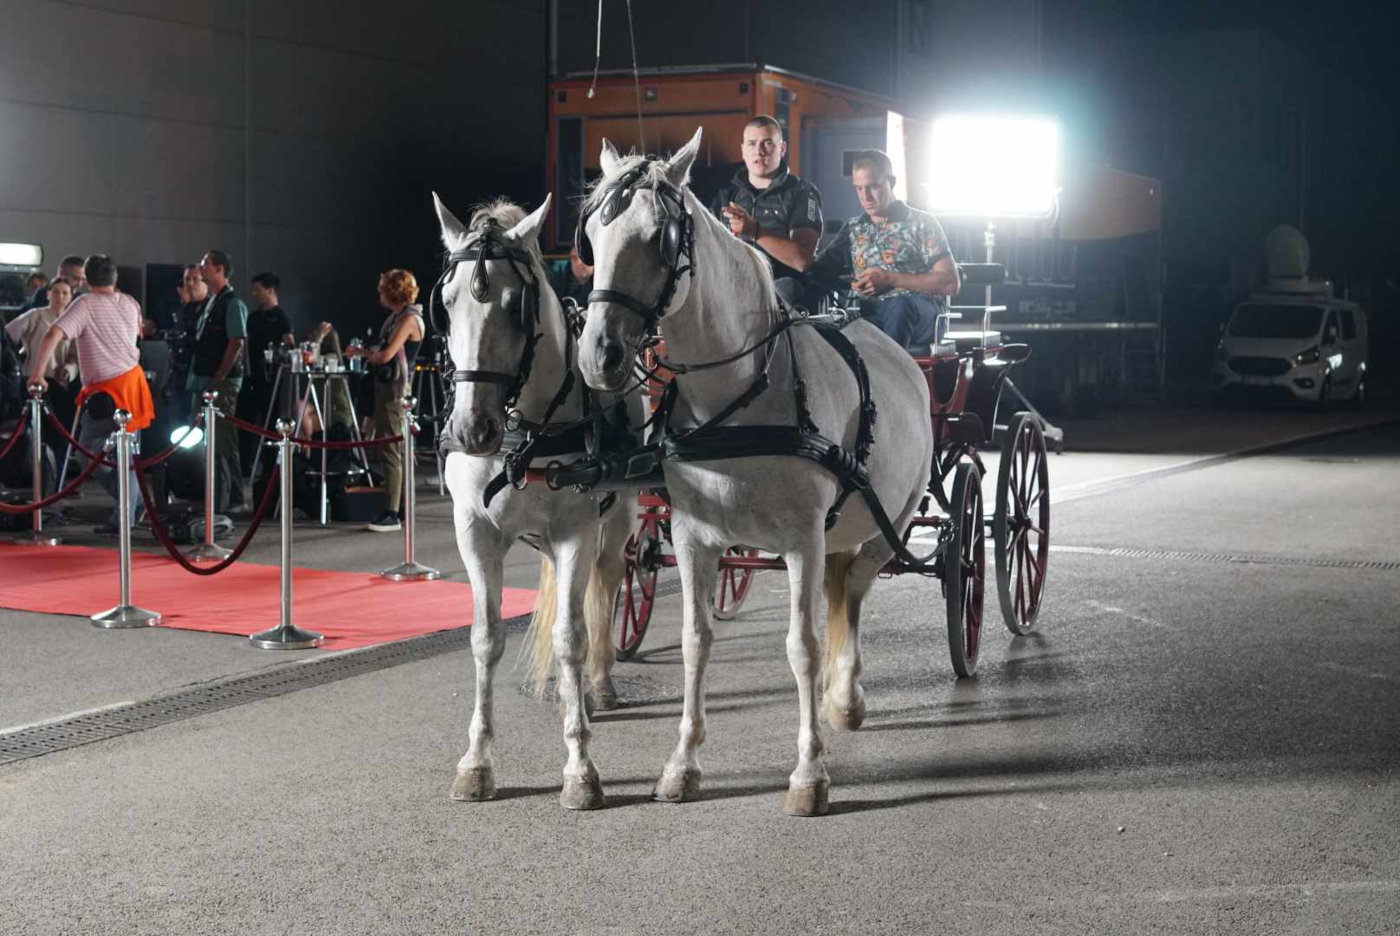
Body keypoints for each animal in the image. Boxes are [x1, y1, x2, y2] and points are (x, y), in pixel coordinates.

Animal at [436, 193, 641, 805]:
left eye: (515, 305)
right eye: (447, 303)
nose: (471, 429)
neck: (521, 431)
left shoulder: (576, 530)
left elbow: (571, 635)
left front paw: (580, 767)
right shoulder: (474, 531)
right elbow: (486, 638)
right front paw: (477, 762)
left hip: (620, 514)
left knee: (609, 578)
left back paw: (599, 684)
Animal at [574, 128, 935, 811]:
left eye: (659, 239)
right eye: (591, 240)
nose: (598, 356)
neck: (741, 394)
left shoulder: (802, 540)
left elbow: (803, 646)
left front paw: (809, 774)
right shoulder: (693, 538)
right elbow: (696, 642)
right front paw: (682, 763)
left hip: (892, 520)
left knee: (858, 584)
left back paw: (845, 698)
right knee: (843, 589)